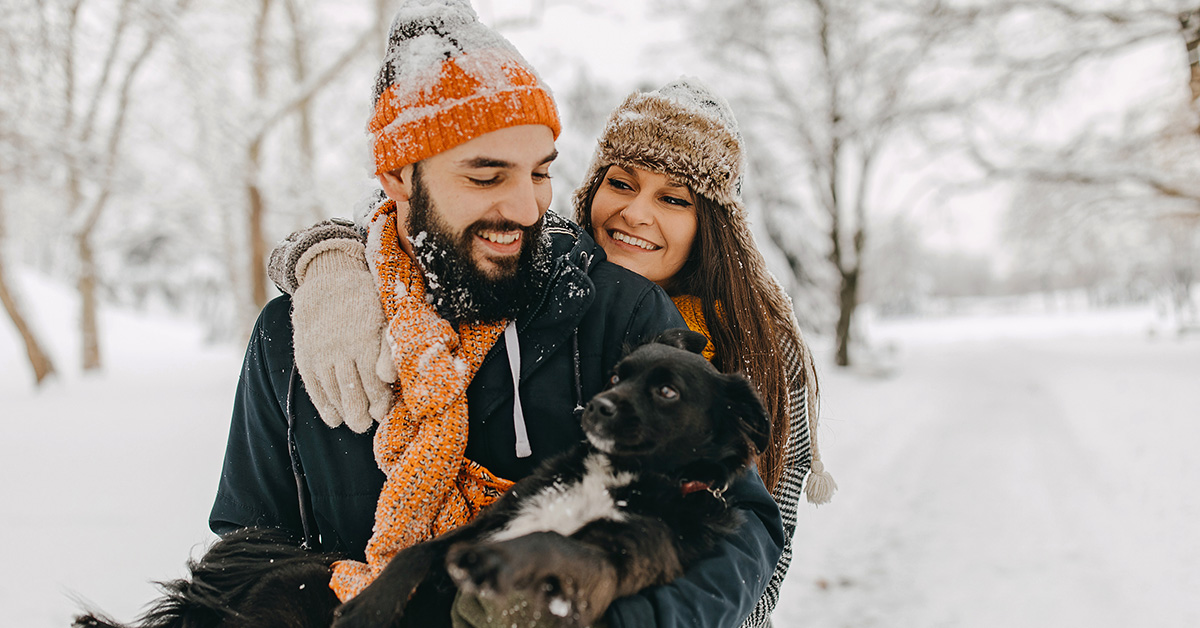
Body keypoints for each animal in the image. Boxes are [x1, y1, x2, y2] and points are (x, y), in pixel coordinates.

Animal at [75, 329, 768, 628]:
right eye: (617, 375)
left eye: (667, 391)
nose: (592, 408)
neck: (612, 475)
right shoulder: (493, 518)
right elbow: (415, 554)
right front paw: (369, 606)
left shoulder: (619, 560)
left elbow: (558, 545)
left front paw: (504, 563)